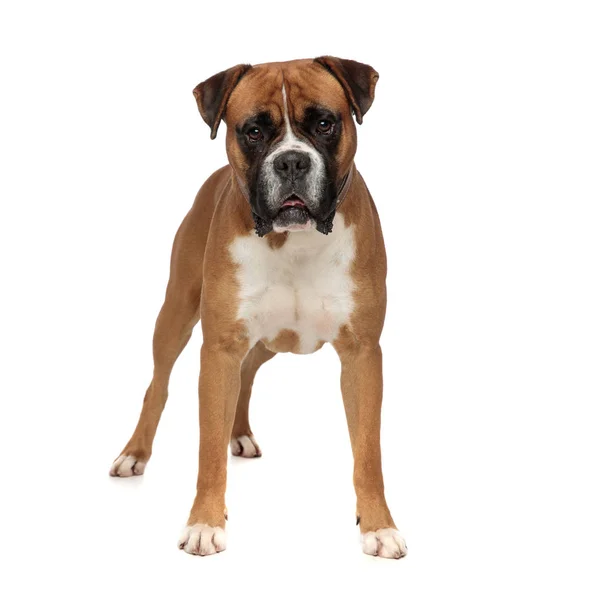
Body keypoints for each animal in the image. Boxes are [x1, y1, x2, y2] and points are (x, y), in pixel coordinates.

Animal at [109, 58, 408, 560]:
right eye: (252, 131)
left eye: (325, 123)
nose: (291, 161)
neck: (294, 240)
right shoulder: (219, 351)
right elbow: (207, 450)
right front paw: (204, 523)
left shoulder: (363, 355)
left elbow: (368, 452)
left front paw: (379, 526)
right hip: (176, 314)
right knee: (158, 386)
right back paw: (134, 453)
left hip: (266, 342)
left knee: (248, 373)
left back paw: (240, 433)